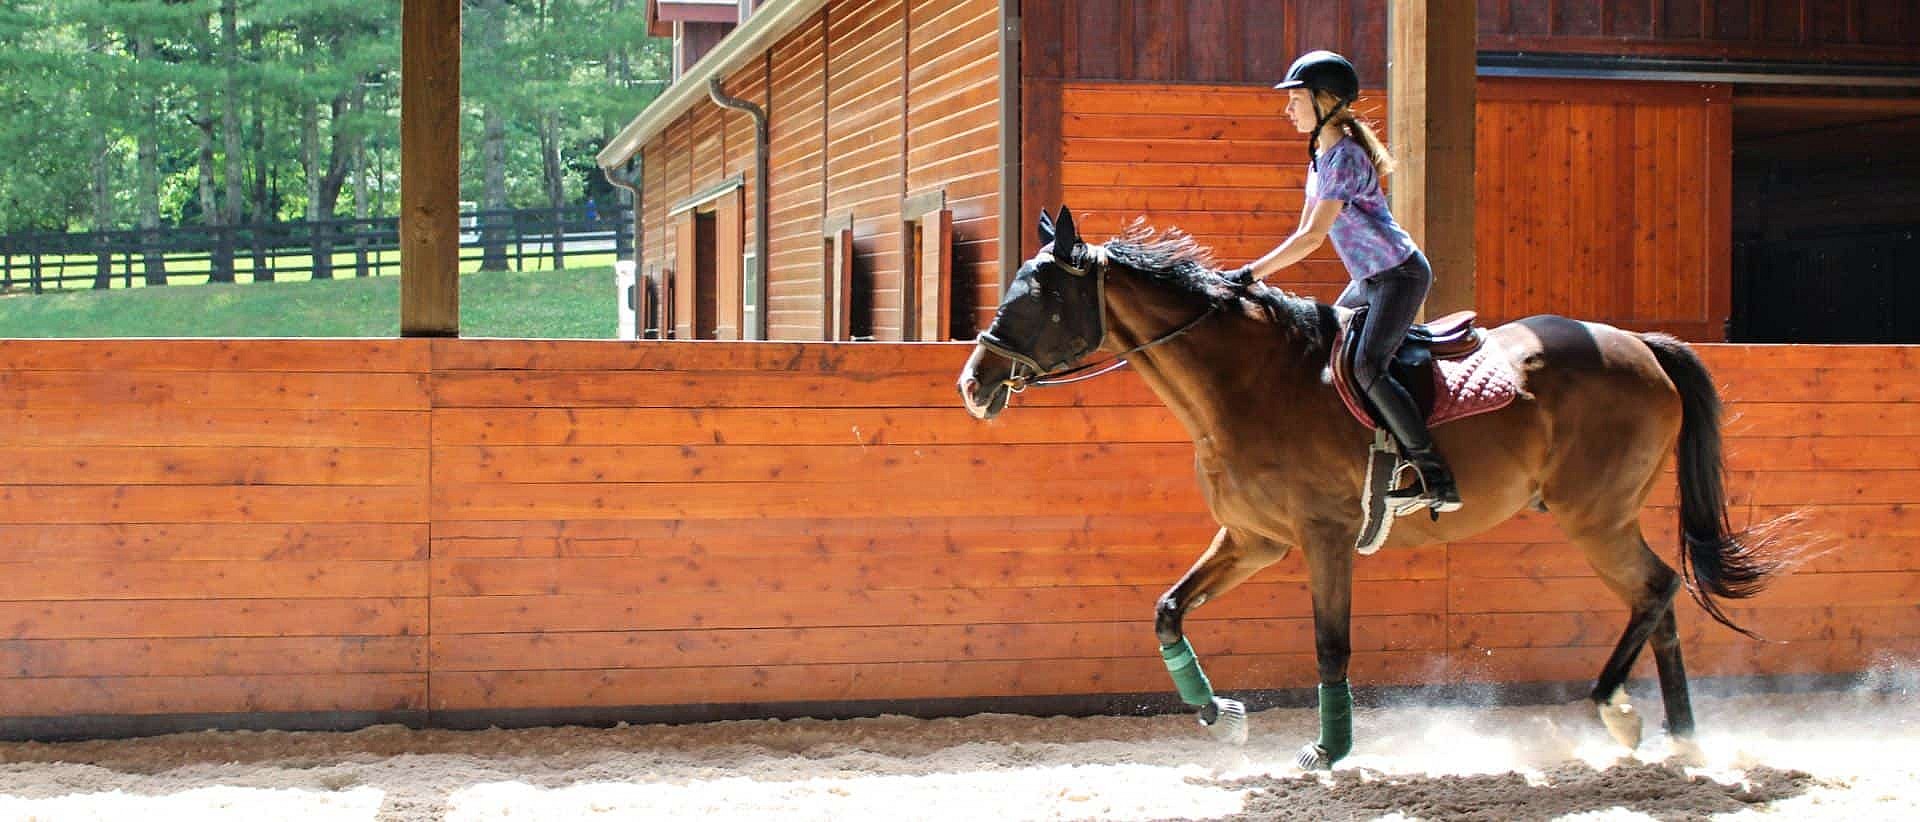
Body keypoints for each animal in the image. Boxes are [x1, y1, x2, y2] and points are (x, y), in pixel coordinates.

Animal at [952, 207, 1789, 772]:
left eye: (1037, 297)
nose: (973, 382)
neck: (1248, 381)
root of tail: (1639, 345)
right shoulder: (1253, 540)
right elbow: (1168, 611)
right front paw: (1222, 716)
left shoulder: (1321, 537)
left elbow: (1331, 645)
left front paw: (1328, 750)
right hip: (1601, 518)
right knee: (1659, 595)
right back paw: (1678, 736)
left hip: (1596, 517)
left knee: (1658, 588)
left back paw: (1619, 712)